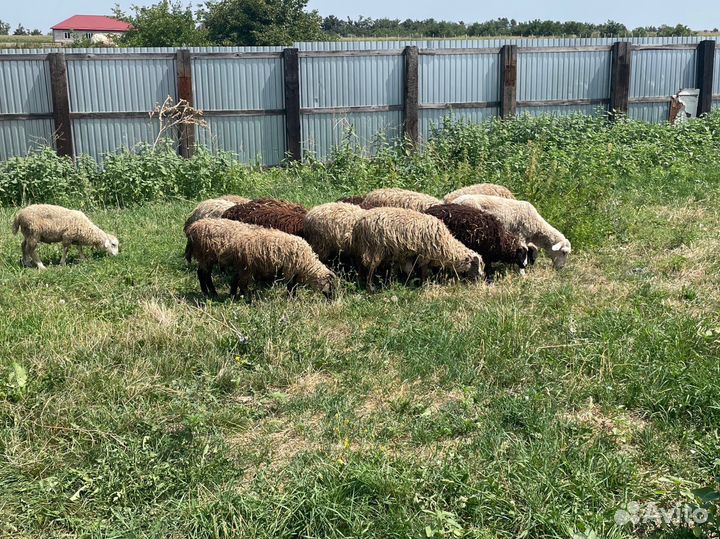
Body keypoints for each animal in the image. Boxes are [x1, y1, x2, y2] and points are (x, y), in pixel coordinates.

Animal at [185, 218, 336, 299]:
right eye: (332, 286)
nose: (332, 300)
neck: (306, 261)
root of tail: (193, 228)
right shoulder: (290, 268)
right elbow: (291, 286)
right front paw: (292, 298)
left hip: (209, 258)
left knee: (206, 274)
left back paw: (218, 293)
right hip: (207, 256)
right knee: (203, 274)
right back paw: (209, 293)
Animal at [351, 207, 483, 291]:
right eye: (475, 265)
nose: (479, 280)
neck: (446, 245)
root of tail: (358, 223)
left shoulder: (405, 254)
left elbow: (408, 270)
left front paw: (406, 283)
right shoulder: (425, 254)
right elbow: (423, 271)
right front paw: (424, 284)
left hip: (366, 247)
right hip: (375, 247)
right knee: (371, 266)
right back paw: (370, 287)